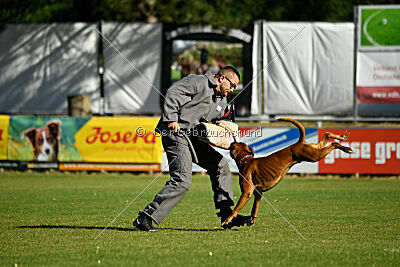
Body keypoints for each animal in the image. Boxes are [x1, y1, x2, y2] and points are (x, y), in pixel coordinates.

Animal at [222, 118, 354, 229]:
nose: (231, 142)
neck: (246, 160)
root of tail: (299, 143)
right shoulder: (258, 194)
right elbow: (254, 209)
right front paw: (250, 220)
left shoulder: (246, 194)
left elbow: (235, 209)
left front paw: (227, 220)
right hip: (315, 149)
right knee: (326, 135)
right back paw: (342, 139)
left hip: (314, 155)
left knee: (332, 144)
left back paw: (344, 146)